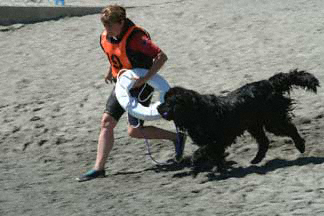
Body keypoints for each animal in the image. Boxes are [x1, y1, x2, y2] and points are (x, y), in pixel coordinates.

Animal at [158, 69, 320, 172]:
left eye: (168, 102)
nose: (158, 107)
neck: (197, 112)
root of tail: (269, 83)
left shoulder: (221, 138)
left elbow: (206, 150)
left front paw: (197, 160)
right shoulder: (217, 141)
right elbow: (214, 154)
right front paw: (220, 167)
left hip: (272, 121)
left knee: (289, 128)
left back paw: (300, 146)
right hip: (255, 125)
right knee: (264, 141)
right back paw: (256, 160)